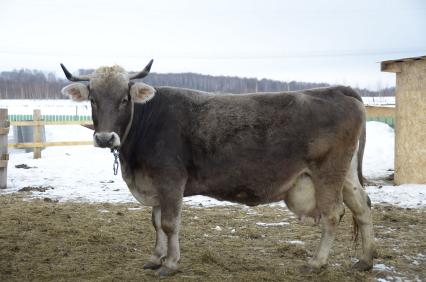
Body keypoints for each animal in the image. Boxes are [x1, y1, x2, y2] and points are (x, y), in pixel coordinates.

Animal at [60, 59, 376, 276]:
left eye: (124, 99)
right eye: (92, 99)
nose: (104, 138)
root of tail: (337, 90)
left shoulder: (170, 180)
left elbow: (169, 223)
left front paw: (170, 263)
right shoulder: (155, 184)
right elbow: (156, 222)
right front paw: (155, 257)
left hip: (327, 173)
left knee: (333, 214)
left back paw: (317, 262)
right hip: (346, 174)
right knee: (362, 206)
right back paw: (366, 259)